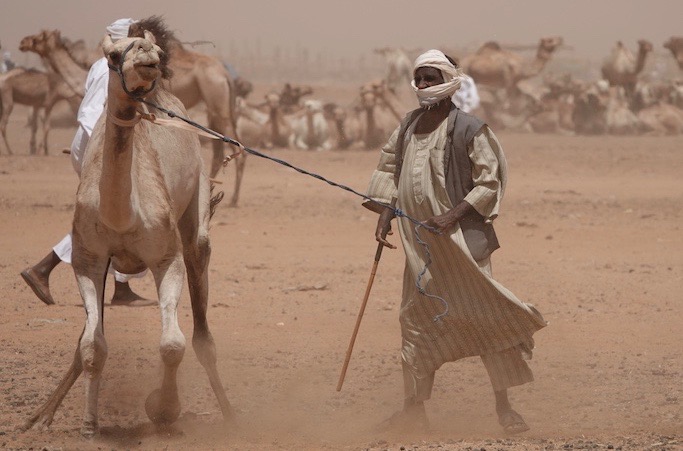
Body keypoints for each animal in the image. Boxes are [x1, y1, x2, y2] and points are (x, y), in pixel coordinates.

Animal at [20, 20, 232, 438]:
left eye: (156, 52)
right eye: (113, 55)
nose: (149, 59)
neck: (123, 213)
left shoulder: (166, 259)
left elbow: (172, 345)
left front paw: (163, 410)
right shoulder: (90, 260)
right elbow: (92, 345)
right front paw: (85, 424)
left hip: (196, 211)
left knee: (202, 328)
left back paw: (229, 411)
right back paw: (43, 414)